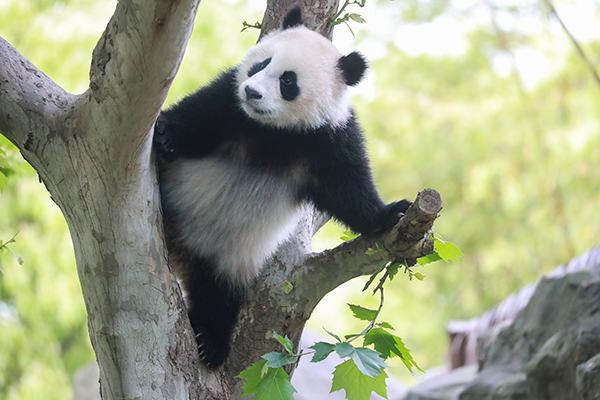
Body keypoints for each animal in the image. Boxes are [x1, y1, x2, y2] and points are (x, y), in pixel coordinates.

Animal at [152, 6, 410, 368]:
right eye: (262, 64)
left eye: (288, 80)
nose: (252, 93)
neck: (276, 130)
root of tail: (179, 248)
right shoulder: (227, 102)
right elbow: (194, 116)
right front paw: (165, 135)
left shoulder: (329, 140)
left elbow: (350, 192)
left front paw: (391, 214)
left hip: (228, 254)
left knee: (218, 293)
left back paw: (210, 341)